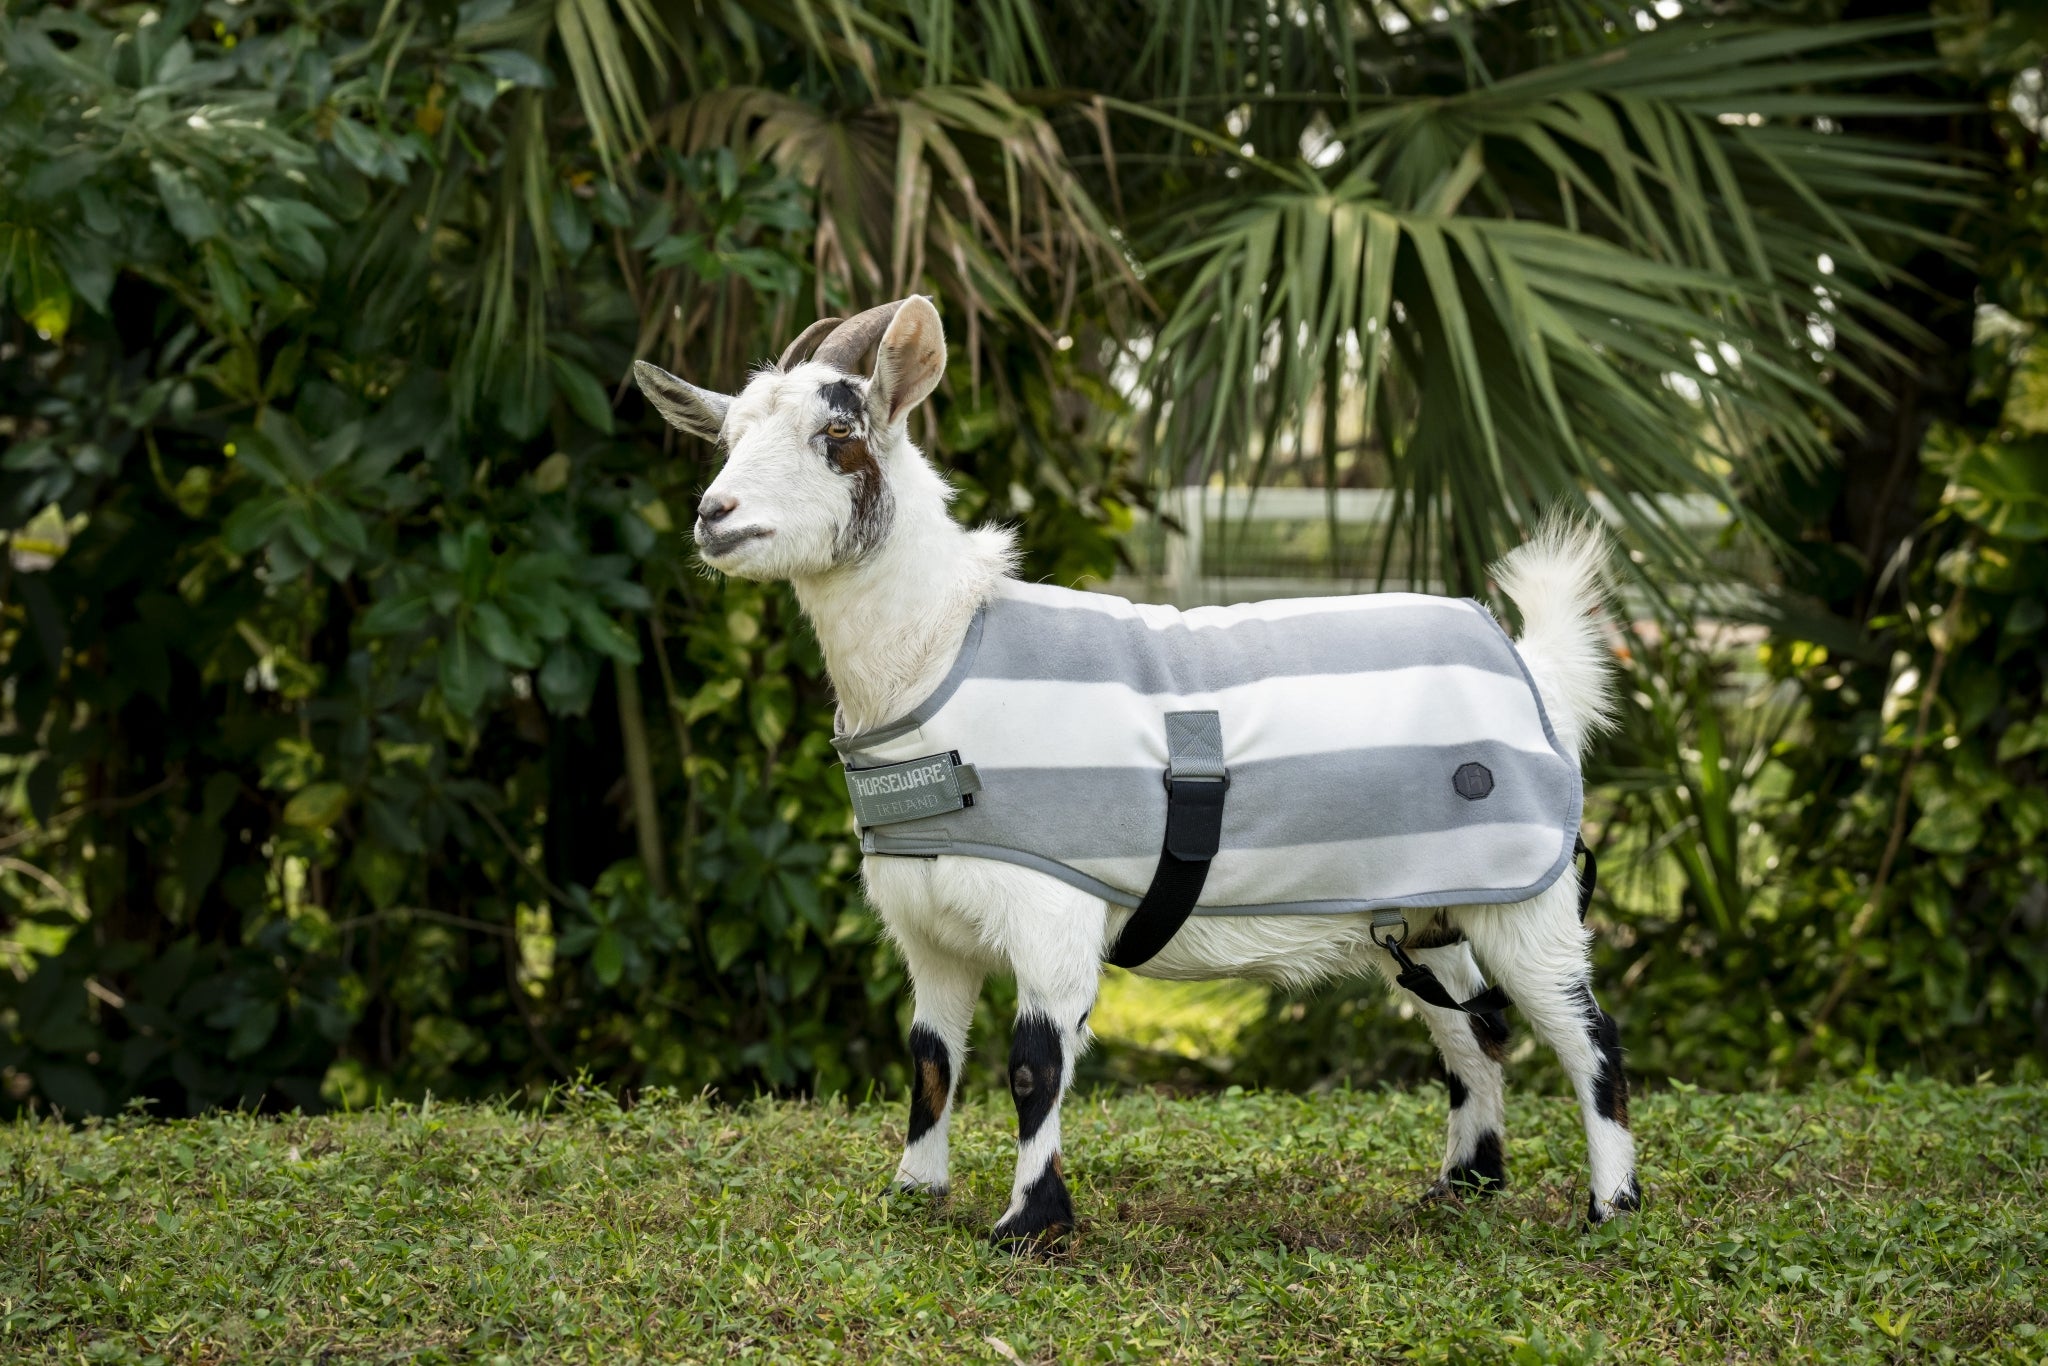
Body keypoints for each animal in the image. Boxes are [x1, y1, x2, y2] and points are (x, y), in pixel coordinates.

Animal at [633, 296, 1640, 1246]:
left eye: (837, 435)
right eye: (727, 438)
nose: (714, 517)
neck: (942, 652)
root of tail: (1535, 670)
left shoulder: (1052, 912)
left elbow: (1034, 1062)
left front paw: (1029, 1226)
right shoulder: (928, 932)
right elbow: (929, 1056)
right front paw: (914, 1194)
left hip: (1530, 898)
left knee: (1585, 1031)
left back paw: (1611, 1206)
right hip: (1430, 912)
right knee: (1473, 1026)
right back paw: (1464, 1184)